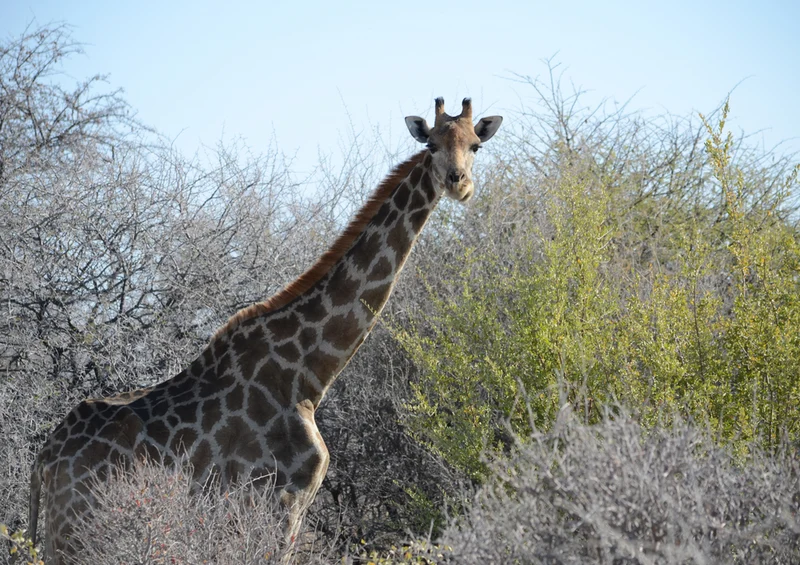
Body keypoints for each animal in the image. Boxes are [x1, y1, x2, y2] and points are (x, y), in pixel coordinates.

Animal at [28, 97, 502, 563]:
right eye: (431, 146)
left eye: (475, 146)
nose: (459, 184)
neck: (309, 375)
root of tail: (45, 456)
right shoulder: (281, 501)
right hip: (78, 529)